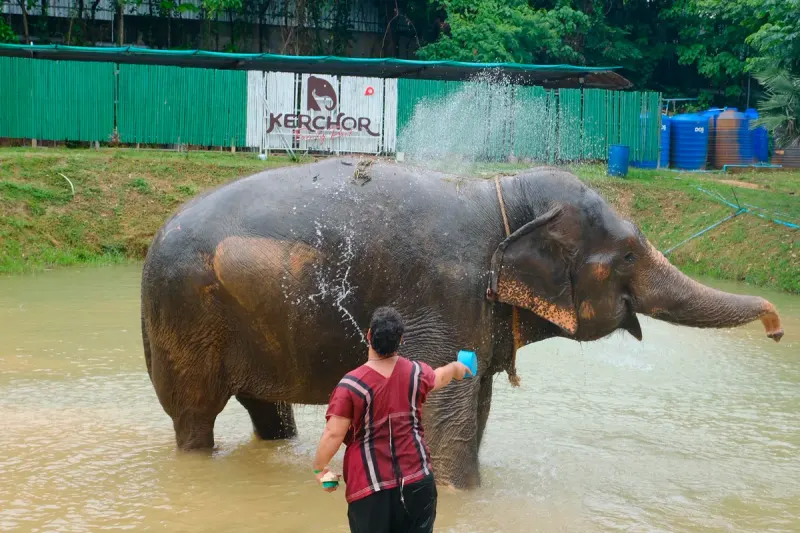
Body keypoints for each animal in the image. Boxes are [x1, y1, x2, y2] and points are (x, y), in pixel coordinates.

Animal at [140, 158, 783, 489]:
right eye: (627, 254)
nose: (778, 327)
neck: (503, 196)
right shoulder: (446, 294)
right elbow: (446, 412)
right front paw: (460, 495)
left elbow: (477, 405)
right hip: (183, 317)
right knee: (194, 416)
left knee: (267, 411)